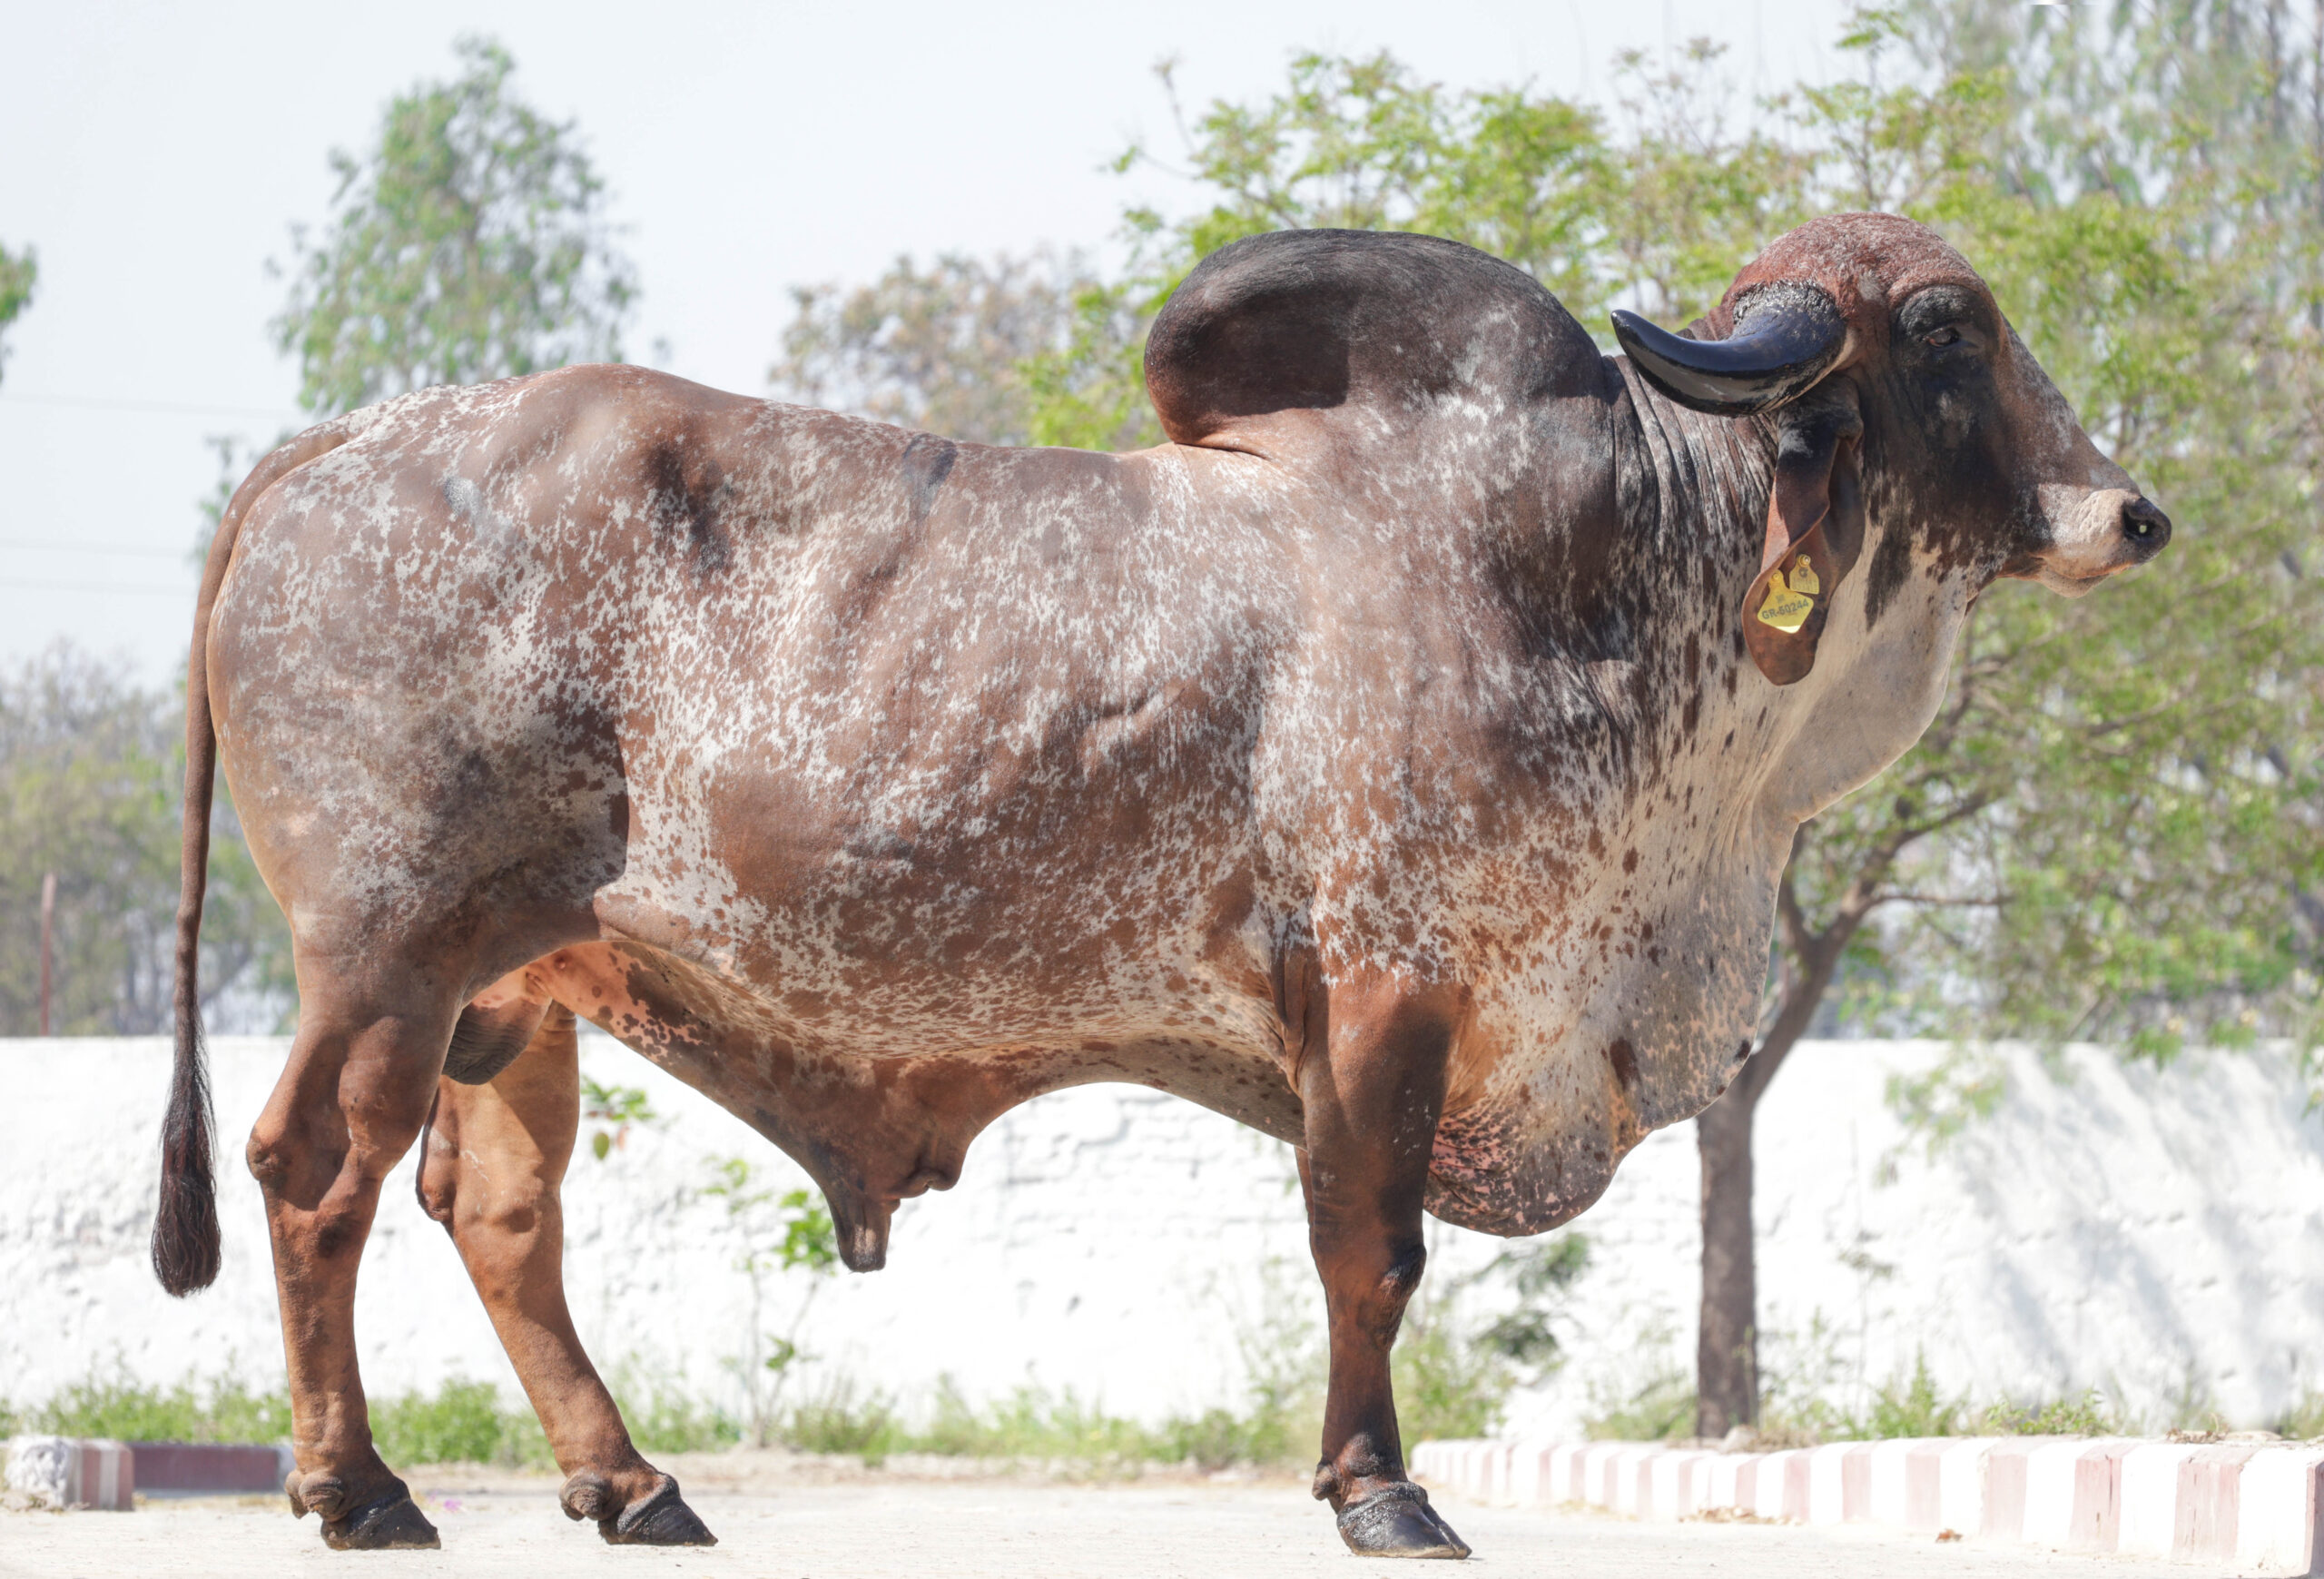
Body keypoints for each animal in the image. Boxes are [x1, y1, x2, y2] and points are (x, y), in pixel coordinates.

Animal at [151, 213, 2165, 1558]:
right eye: (1943, 328)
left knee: (496, 1214)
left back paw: (626, 1479)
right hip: (384, 956)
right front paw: (1380, 1488)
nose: (2129, 511)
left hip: (517, 988)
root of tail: (321, 450)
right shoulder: (1381, 983)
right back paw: (358, 1486)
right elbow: (1372, 1247)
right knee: (311, 1173)